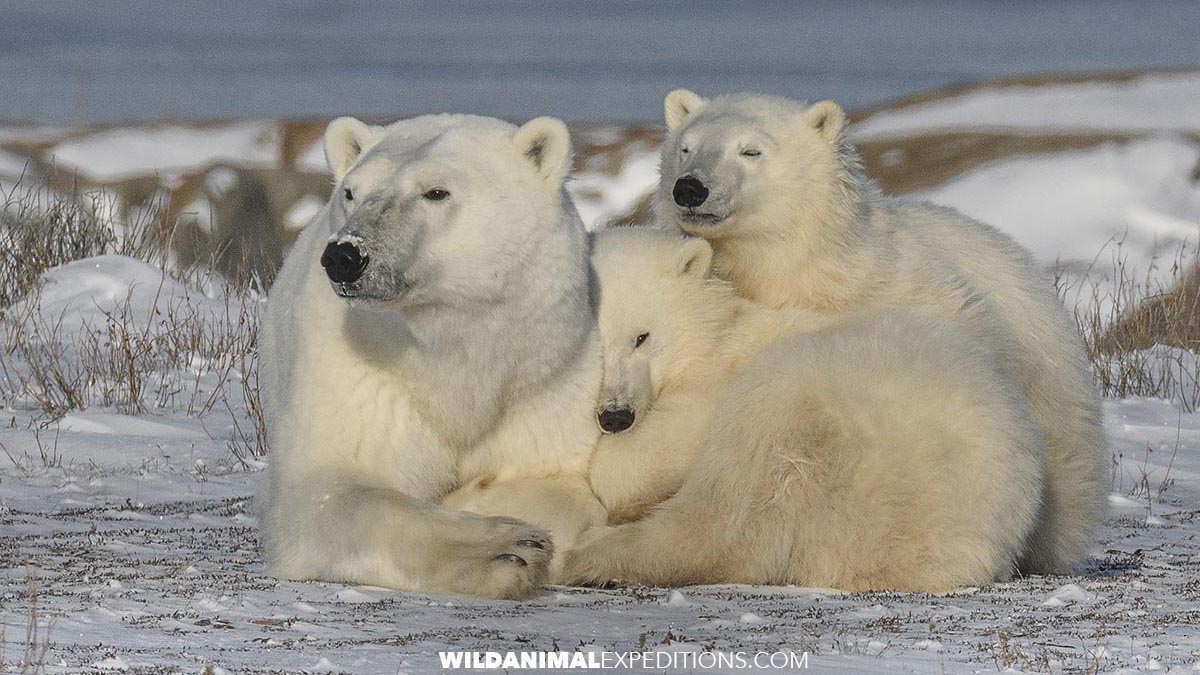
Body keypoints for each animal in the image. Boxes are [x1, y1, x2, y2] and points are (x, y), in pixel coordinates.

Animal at [258, 113, 605, 599]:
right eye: (351, 192)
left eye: (436, 192)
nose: (345, 255)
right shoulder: (358, 376)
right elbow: (333, 490)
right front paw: (508, 548)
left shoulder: (547, 376)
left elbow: (566, 487)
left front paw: (475, 497)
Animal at [563, 229, 1045, 592]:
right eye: (590, 347)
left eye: (641, 337)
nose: (615, 416)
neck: (716, 337)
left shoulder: (718, 384)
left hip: (819, 399)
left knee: (727, 515)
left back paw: (588, 553)